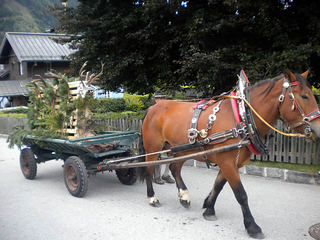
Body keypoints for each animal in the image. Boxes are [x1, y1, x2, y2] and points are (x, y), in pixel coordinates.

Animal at [139, 69, 320, 238]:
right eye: (304, 96)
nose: (318, 130)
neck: (242, 117)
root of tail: (153, 107)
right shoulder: (227, 163)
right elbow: (241, 194)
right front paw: (252, 226)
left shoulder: (232, 163)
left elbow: (218, 186)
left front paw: (209, 208)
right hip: (153, 148)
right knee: (148, 169)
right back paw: (152, 197)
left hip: (184, 149)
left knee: (174, 168)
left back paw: (184, 196)